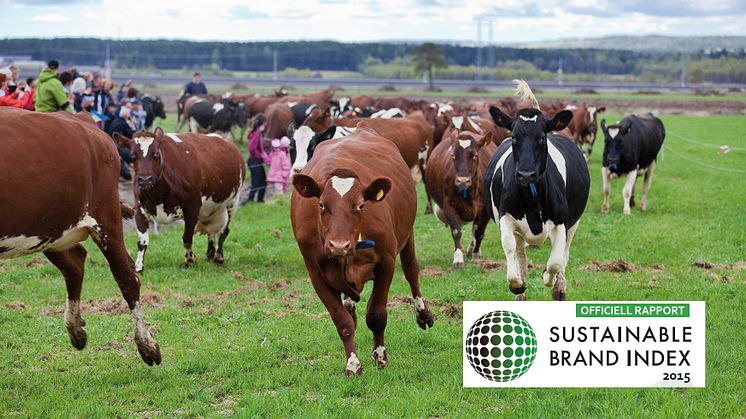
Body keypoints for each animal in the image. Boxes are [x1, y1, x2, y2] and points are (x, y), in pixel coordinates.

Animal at [0, 109, 161, 368]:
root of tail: (81, 118)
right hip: (49, 227)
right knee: (75, 262)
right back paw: (76, 329)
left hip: (104, 218)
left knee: (127, 278)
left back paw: (147, 346)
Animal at [112, 129, 244, 272]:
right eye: (132, 155)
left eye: (156, 153)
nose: (145, 179)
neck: (158, 195)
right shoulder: (140, 208)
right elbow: (142, 241)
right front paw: (138, 267)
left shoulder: (192, 207)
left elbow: (187, 238)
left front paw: (190, 261)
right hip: (211, 210)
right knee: (212, 231)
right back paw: (210, 254)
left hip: (232, 202)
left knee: (224, 231)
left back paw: (218, 258)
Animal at [288, 128, 434, 378]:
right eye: (321, 205)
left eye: (361, 205)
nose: (339, 245)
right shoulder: (316, 275)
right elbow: (343, 323)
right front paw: (353, 364)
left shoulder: (386, 263)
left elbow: (376, 315)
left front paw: (380, 357)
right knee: (349, 308)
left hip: (407, 236)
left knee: (411, 270)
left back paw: (422, 313)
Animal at [486, 81, 588, 302]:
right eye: (514, 138)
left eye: (541, 138)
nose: (526, 174)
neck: (532, 197)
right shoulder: (505, 216)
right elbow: (509, 246)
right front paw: (517, 284)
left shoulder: (561, 221)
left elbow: (556, 260)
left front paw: (549, 279)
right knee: (520, 253)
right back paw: (521, 292)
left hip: (574, 222)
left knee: (565, 253)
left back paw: (559, 287)